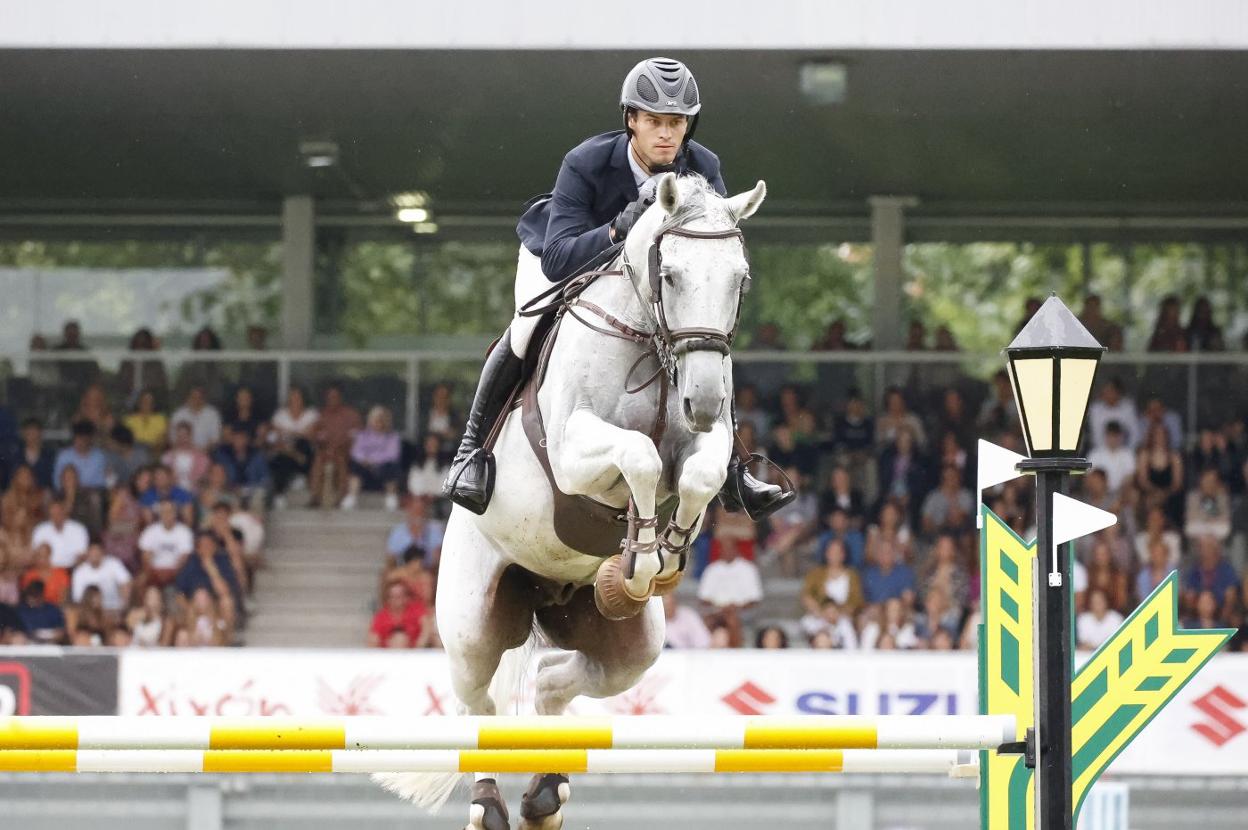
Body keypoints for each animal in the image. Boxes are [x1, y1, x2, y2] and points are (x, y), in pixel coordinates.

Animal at [374, 170, 763, 823]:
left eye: (740, 278)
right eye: (671, 274)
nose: (705, 401)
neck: (649, 341)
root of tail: (544, 589)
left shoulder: (704, 445)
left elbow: (697, 477)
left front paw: (660, 556)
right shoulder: (573, 451)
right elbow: (640, 455)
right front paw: (644, 561)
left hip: (628, 645)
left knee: (556, 680)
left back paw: (545, 791)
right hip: (473, 623)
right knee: (479, 706)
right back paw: (489, 804)